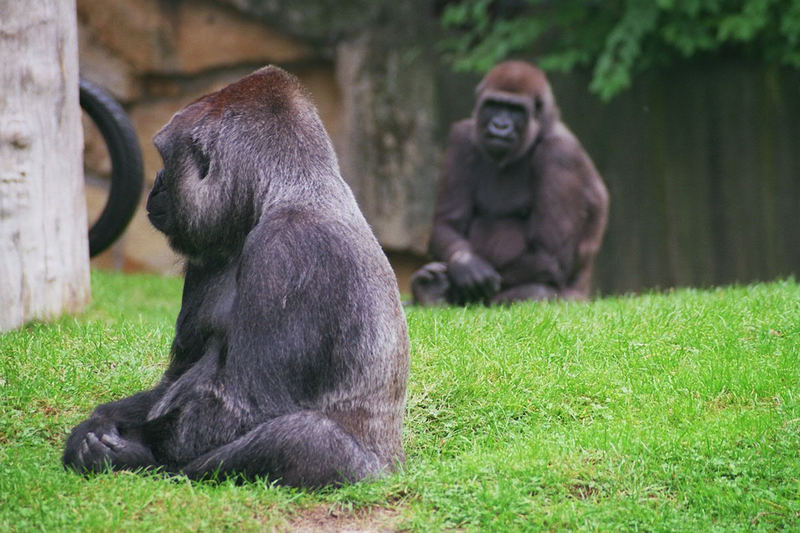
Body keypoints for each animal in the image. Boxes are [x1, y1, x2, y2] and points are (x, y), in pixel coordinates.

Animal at [61, 65, 410, 486]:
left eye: (166, 159)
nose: (156, 185)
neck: (285, 190)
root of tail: (396, 465)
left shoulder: (288, 249)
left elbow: (246, 405)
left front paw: (126, 445)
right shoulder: (207, 256)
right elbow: (176, 375)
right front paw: (101, 421)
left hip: (368, 473)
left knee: (302, 438)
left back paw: (143, 461)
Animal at [410, 60, 608, 306]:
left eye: (515, 110)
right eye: (494, 104)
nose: (500, 125)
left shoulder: (560, 154)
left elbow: (548, 254)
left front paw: (459, 282)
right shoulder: (462, 138)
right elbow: (447, 224)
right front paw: (467, 266)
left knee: (537, 292)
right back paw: (430, 293)